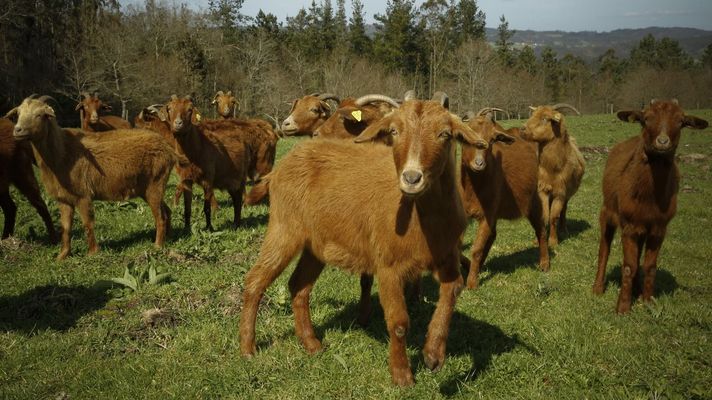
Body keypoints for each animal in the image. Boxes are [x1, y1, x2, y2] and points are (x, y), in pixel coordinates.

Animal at [6, 95, 177, 259]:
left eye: (40, 114)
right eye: (18, 114)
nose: (17, 130)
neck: (62, 152)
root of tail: (167, 148)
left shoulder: (83, 196)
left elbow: (87, 224)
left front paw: (92, 253)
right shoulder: (64, 199)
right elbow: (66, 228)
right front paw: (62, 256)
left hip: (155, 184)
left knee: (160, 217)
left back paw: (157, 246)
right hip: (149, 188)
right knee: (167, 211)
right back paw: (168, 238)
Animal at [240, 94, 488, 386]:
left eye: (445, 134)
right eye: (394, 131)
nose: (411, 178)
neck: (422, 218)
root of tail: (282, 165)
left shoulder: (447, 256)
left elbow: (453, 291)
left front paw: (433, 354)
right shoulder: (388, 266)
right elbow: (398, 323)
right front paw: (402, 375)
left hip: (316, 245)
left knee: (298, 286)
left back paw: (311, 344)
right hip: (283, 229)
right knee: (255, 281)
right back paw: (247, 348)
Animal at [460, 108, 549, 289]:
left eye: (493, 139)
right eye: (466, 136)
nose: (479, 163)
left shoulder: (487, 215)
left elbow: (476, 249)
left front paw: (472, 283)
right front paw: (468, 267)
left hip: (533, 201)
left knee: (541, 229)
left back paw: (544, 264)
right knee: (492, 236)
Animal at [521, 104, 585, 246]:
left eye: (545, 119)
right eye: (533, 115)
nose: (522, 129)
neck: (552, 168)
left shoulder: (560, 192)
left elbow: (554, 216)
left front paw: (553, 241)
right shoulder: (543, 189)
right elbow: (545, 215)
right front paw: (538, 240)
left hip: (567, 194)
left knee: (564, 210)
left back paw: (563, 230)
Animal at [593, 99, 708, 313]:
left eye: (681, 121)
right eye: (645, 119)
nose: (662, 142)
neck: (649, 197)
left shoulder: (659, 228)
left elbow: (649, 266)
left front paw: (647, 301)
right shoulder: (629, 226)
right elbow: (628, 266)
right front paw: (622, 307)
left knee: (638, 257)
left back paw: (637, 290)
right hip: (607, 212)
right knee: (604, 248)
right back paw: (597, 288)